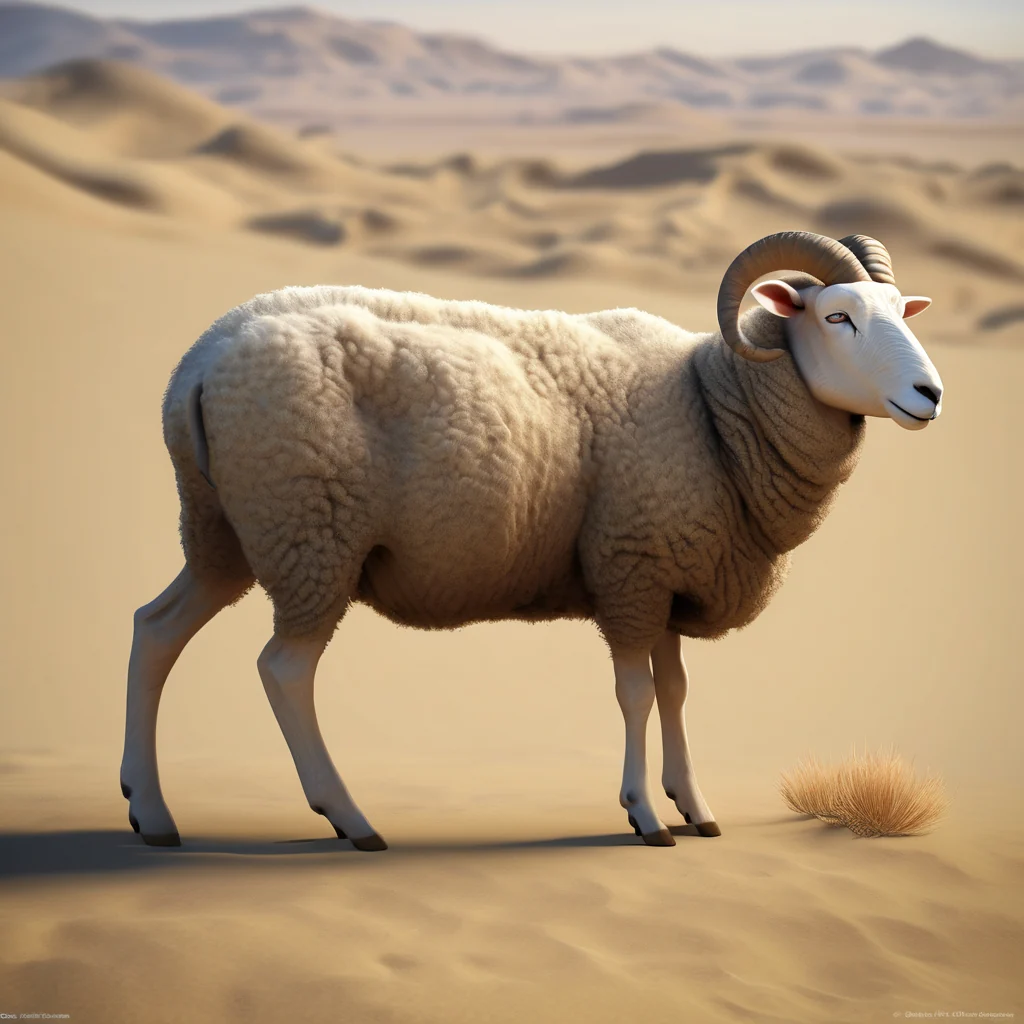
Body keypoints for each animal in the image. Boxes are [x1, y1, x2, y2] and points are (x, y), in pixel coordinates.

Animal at [119, 231, 944, 851]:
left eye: (903, 311)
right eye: (837, 317)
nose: (931, 394)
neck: (715, 406)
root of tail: (199, 365)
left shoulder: (666, 572)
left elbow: (675, 691)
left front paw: (695, 806)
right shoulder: (629, 567)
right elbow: (636, 693)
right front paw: (645, 816)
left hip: (224, 532)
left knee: (155, 629)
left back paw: (151, 813)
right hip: (312, 535)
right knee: (284, 670)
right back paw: (351, 819)